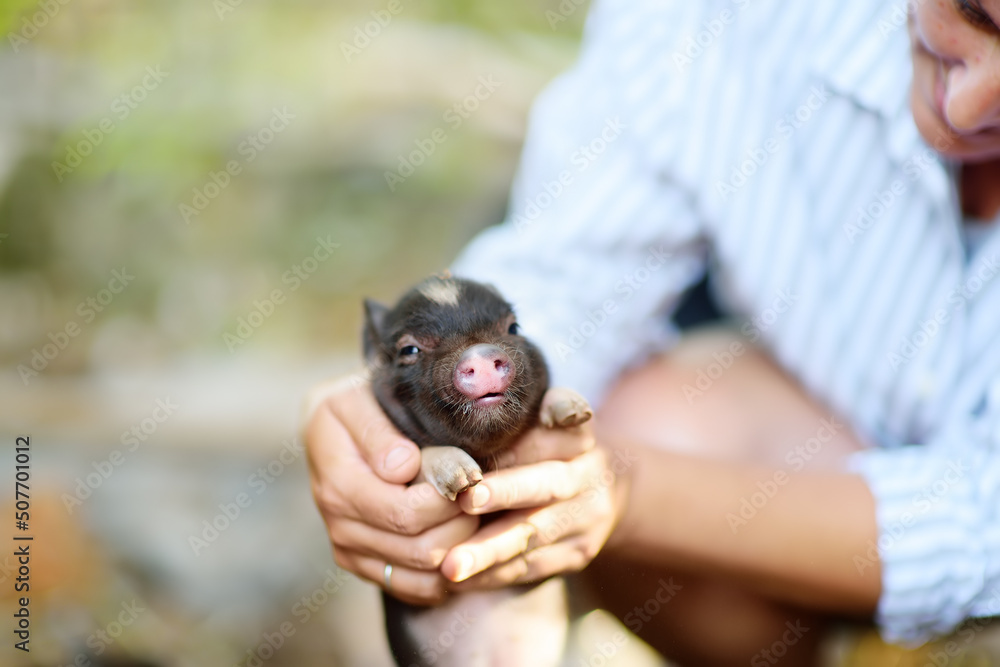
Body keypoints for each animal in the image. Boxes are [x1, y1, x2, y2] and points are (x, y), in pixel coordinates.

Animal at [362, 274, 592, 667]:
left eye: (513, 328)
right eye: (409, 349)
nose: (480, 355)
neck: (487, 454)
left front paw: (575, 411)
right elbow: (422, 456)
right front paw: (463, 480)